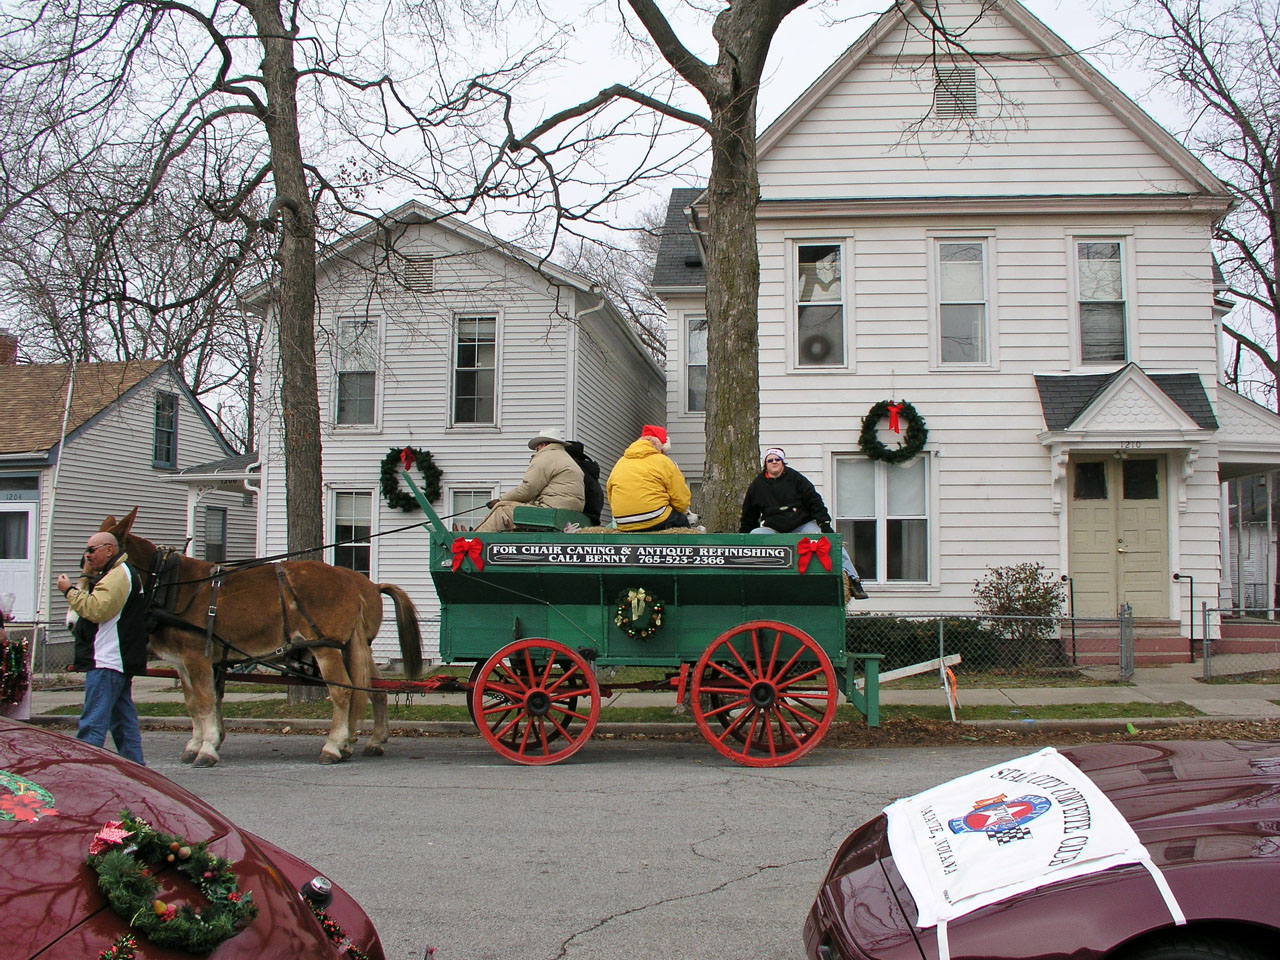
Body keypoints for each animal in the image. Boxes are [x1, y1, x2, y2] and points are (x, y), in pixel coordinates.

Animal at [101, 512, 419, 768]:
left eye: (97, 555)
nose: (92, 597)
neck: (173, 587)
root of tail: (360, 584)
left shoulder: (196, 656)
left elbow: (203, 701)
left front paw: (206, 748)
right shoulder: (190, 661)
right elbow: (197, 701)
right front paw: (202, 743)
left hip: (325, 647)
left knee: (343, 691)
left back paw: (333, 746)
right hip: (352, 647)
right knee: (373, 690)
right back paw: (366, 741)